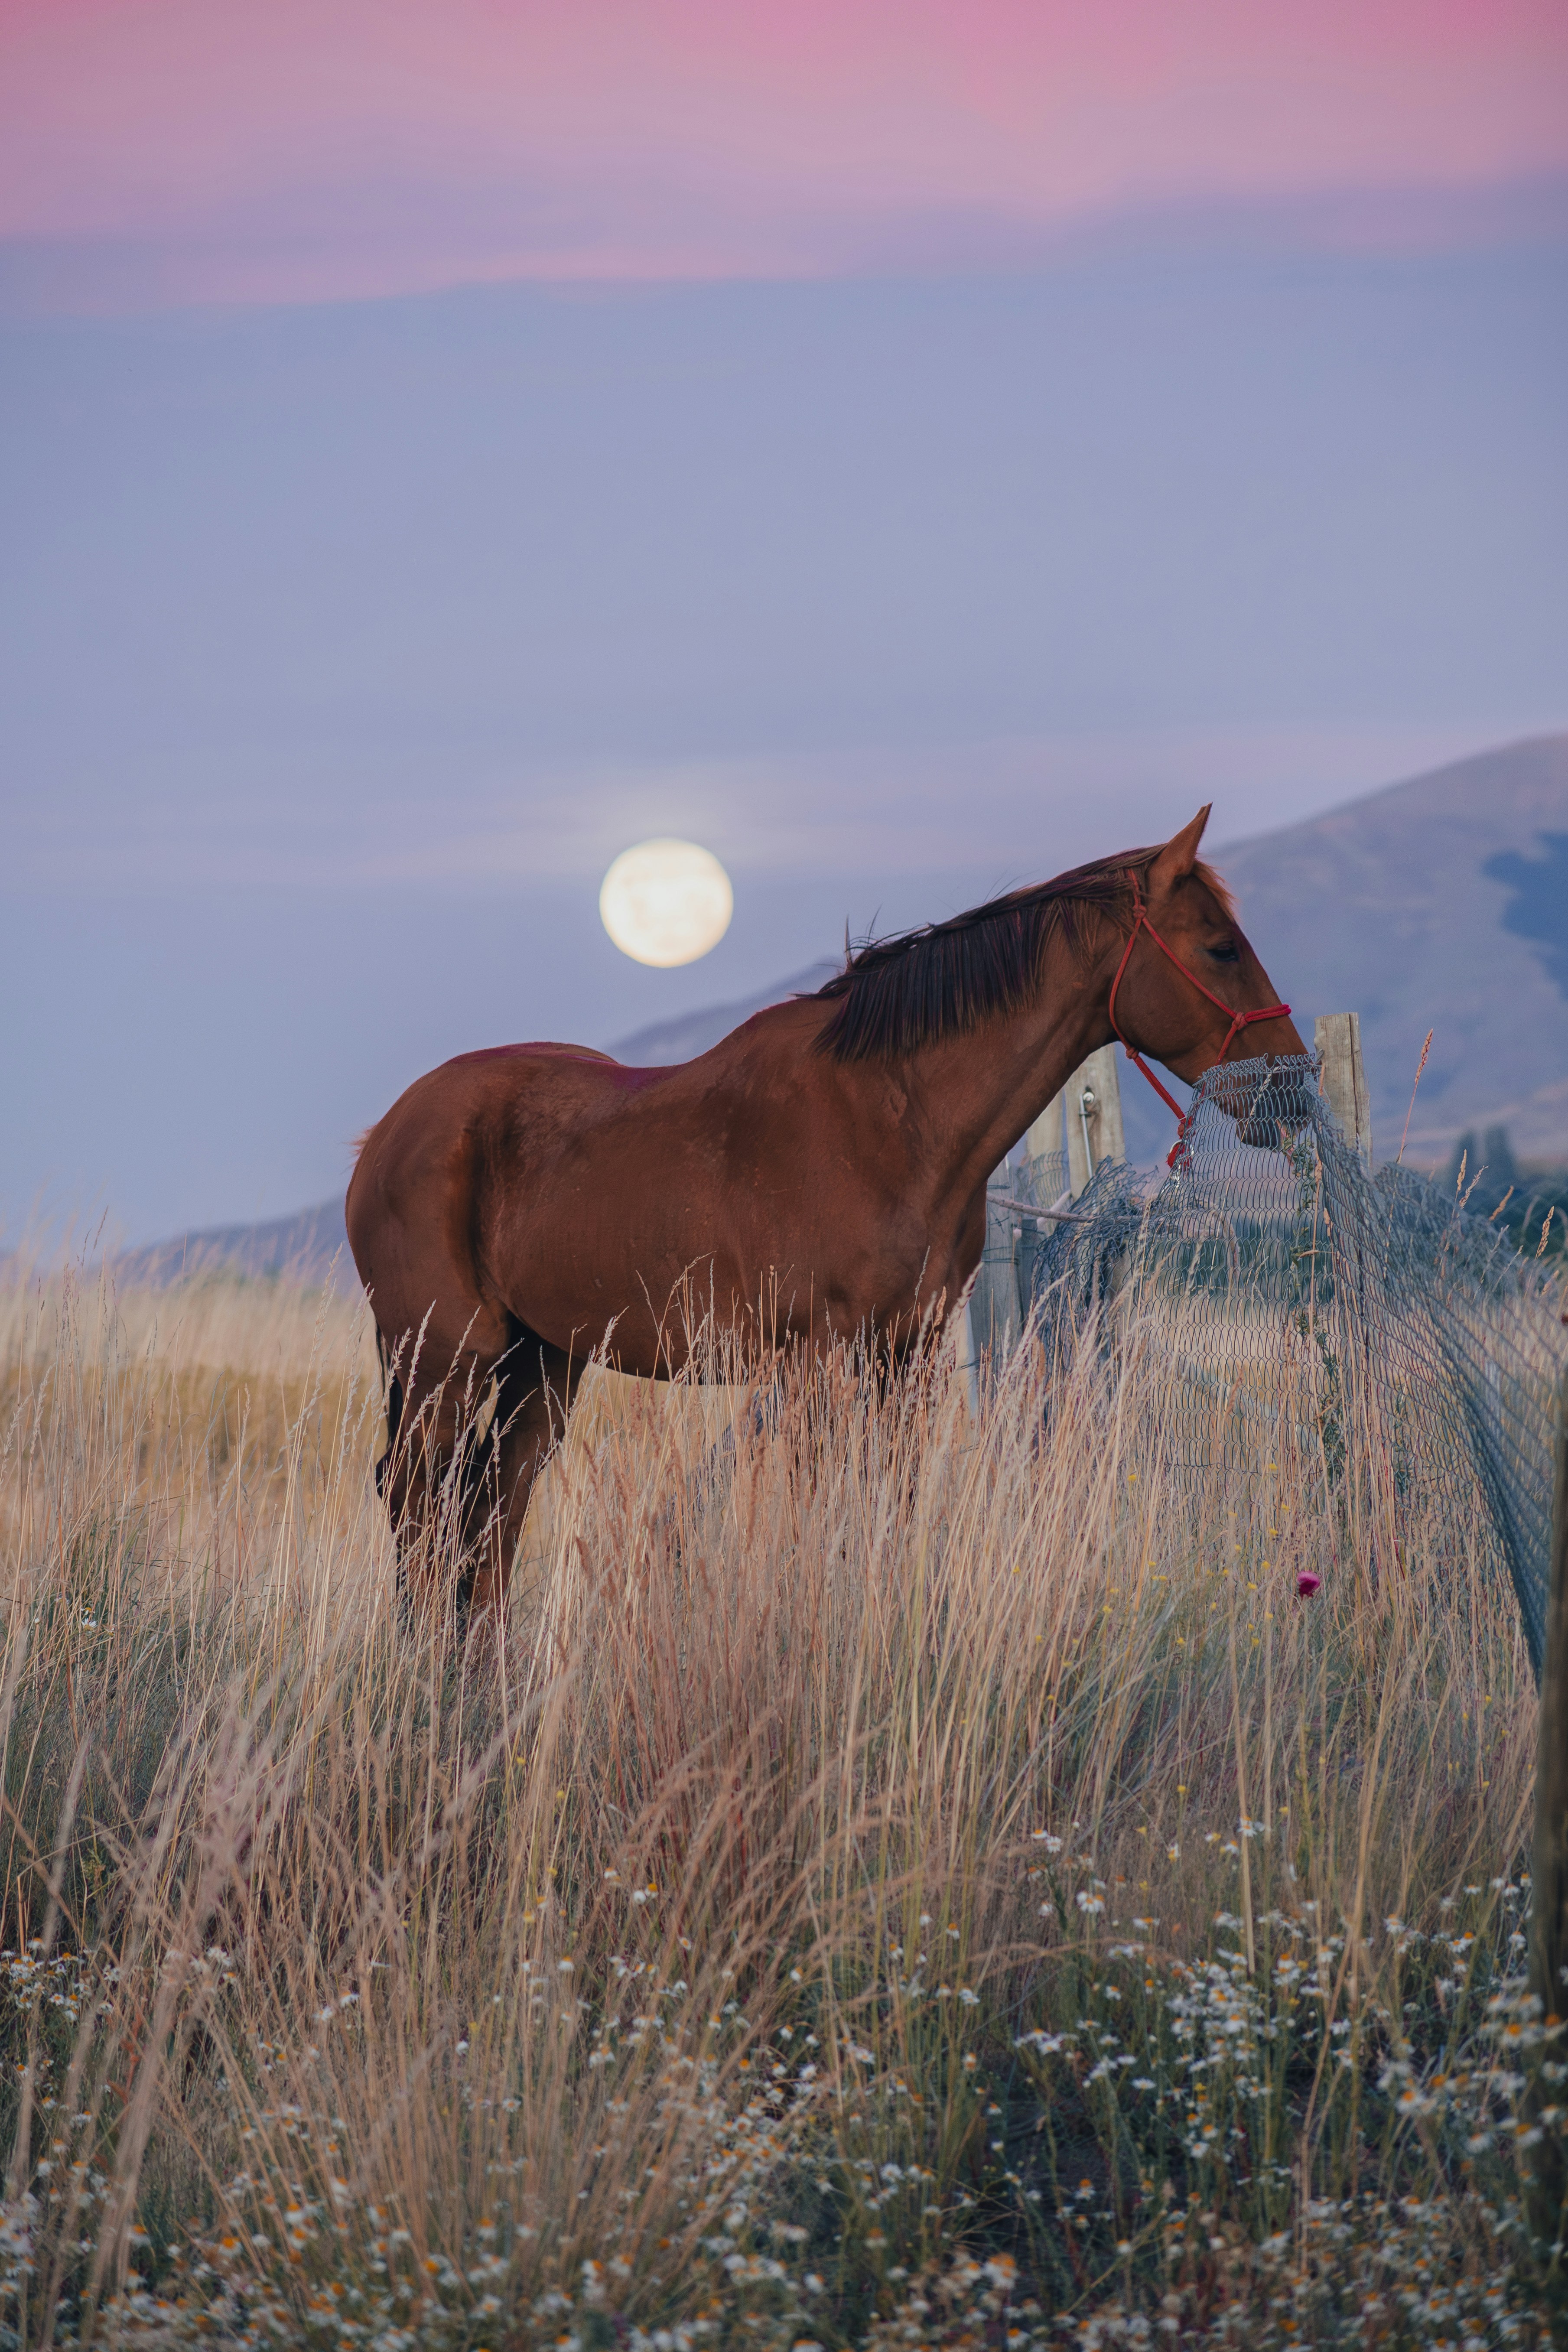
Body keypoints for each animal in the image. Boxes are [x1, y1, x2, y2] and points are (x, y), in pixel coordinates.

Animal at [346, 805, 1304, 1608]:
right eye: (1220, 946)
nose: (1291, 1088)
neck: (886, 1121)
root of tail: (386, 1133)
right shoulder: (814, 1366)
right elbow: (821, 1514)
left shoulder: (903, 1357)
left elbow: (885, 1510)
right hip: (441, 1358)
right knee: (417, 1501)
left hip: (541, 1362)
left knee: (491, 1508)